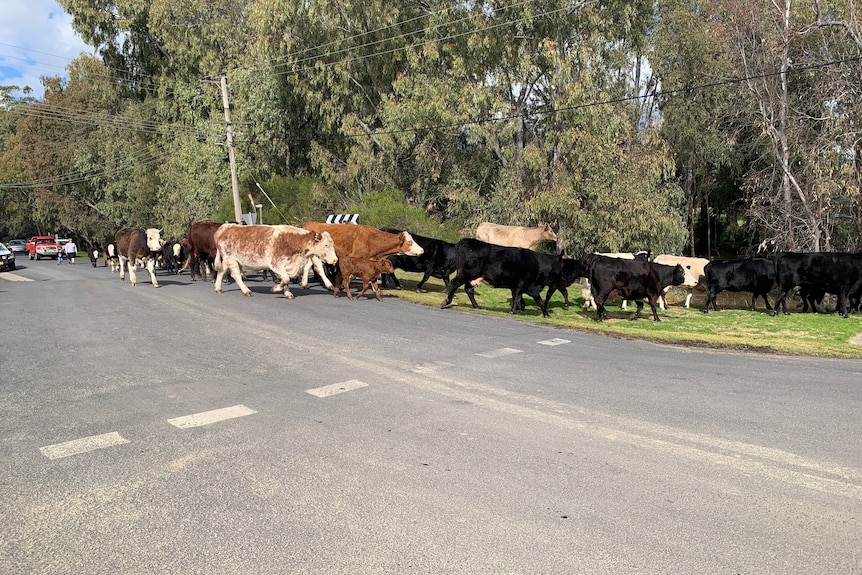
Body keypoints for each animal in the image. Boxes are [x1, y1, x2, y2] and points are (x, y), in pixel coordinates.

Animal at [438, 240, 568, 320]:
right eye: (562, 266)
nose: (564, 278)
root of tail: (465, 241)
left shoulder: (517, 286)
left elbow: (518, 298)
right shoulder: (529, 286)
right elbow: (538, 301)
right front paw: (546, 314)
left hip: (470, 276)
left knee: (468, 289)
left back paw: (477, 306)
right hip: (466, 273)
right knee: (453, 284)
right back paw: (446, 301)